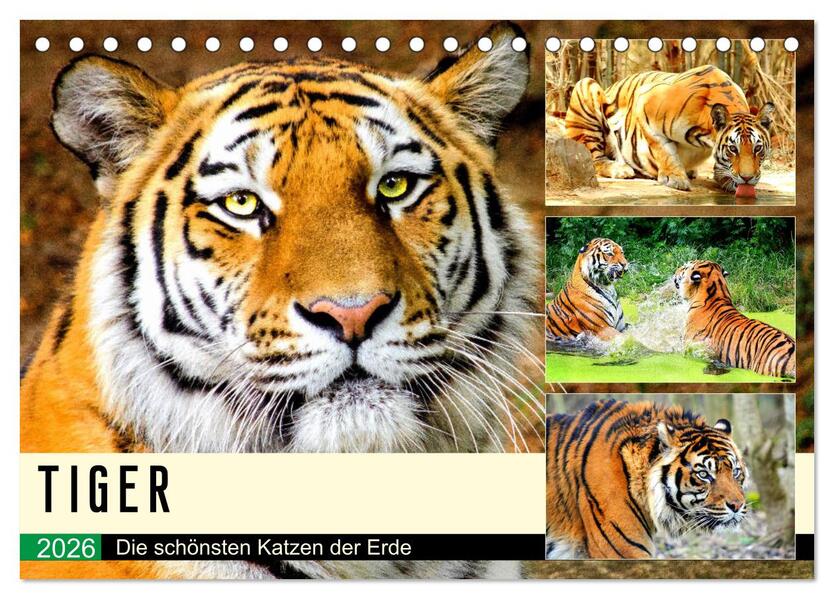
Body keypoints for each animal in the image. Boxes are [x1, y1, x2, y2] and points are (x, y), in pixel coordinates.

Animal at [565, 65, 775, 192]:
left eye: (758, 148)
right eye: (733, 149)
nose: (747, 178)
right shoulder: (644, 104)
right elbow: (663, 149)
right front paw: (675, 178)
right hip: (585, 87)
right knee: (593, 159)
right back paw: (620, 168)